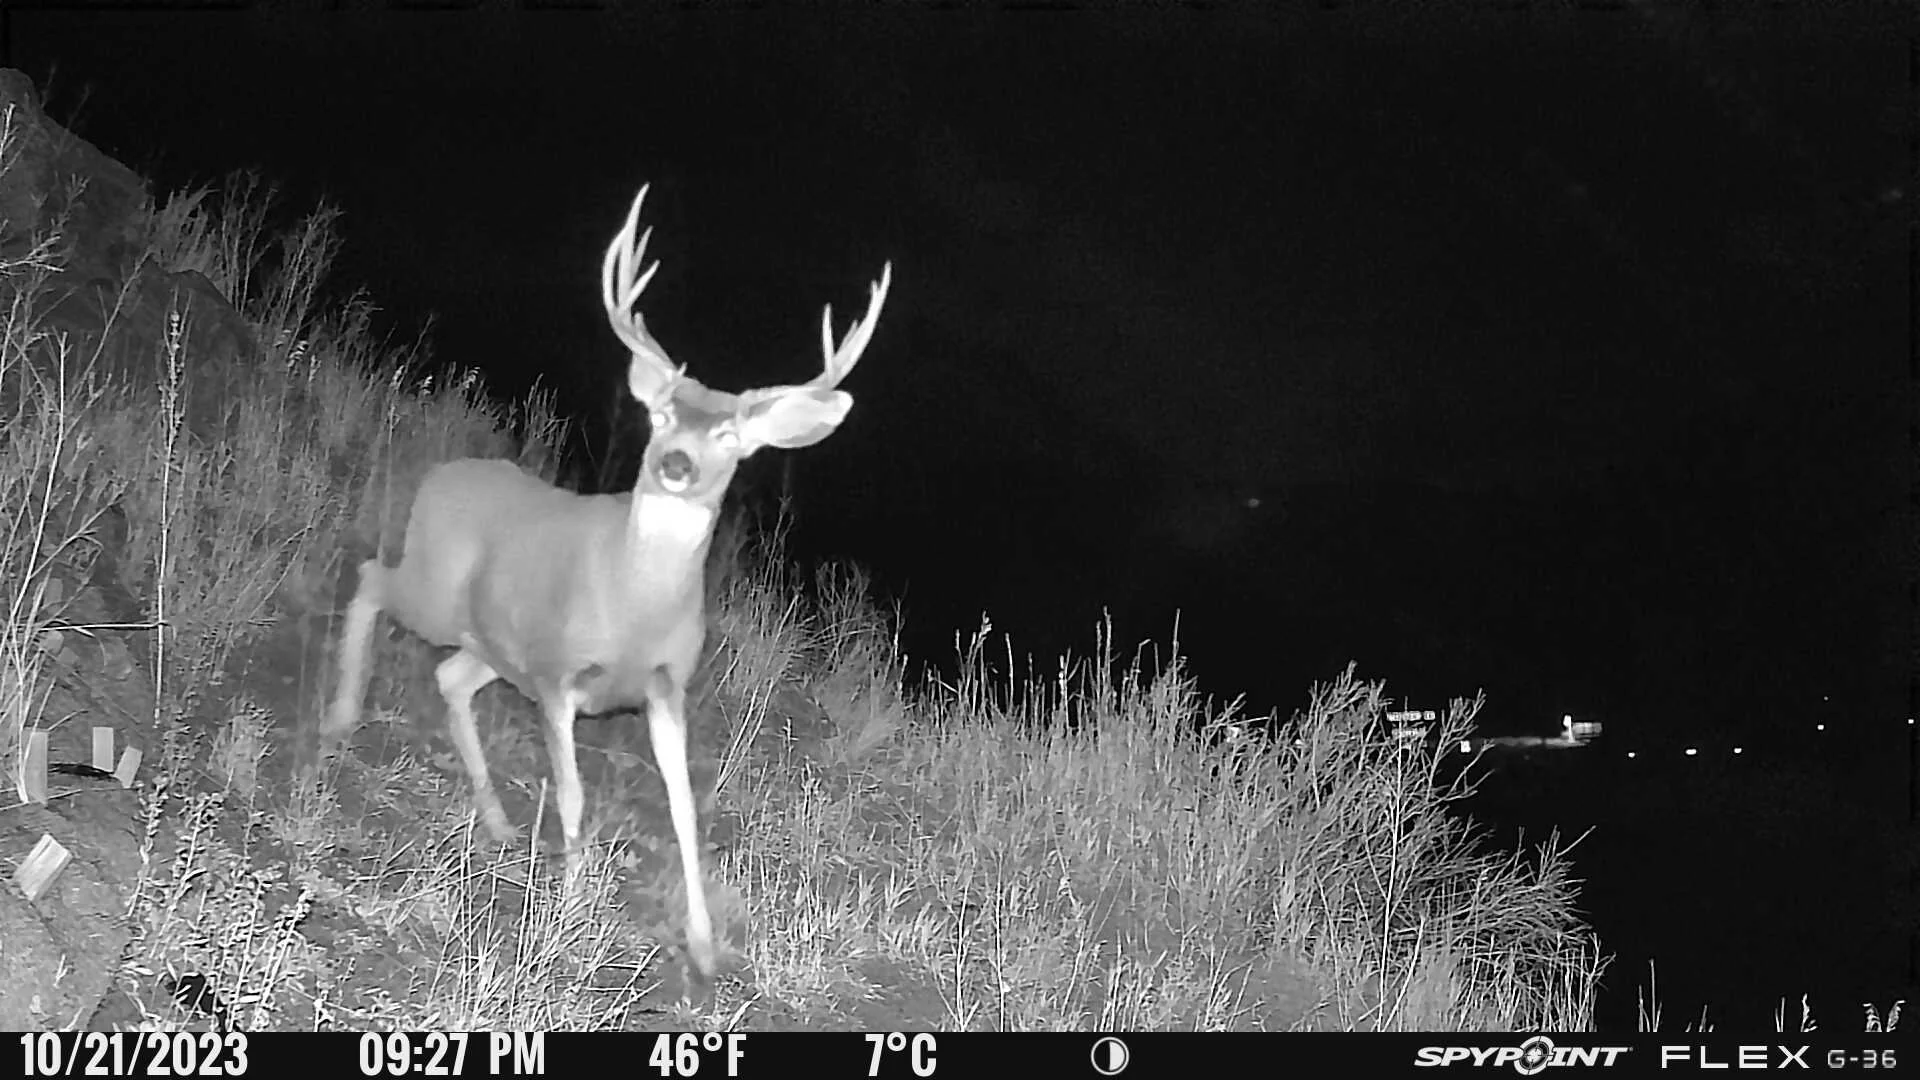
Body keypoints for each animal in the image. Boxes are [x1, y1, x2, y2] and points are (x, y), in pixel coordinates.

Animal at [321, 184, 892, 983]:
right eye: (662, 413)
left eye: (730, 438)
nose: (677, 463)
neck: (632, 607)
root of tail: (444, 473)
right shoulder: (561, 674)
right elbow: (572, 792)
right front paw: (568, 909)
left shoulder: (666, 684)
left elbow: (684, 809)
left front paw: (704, 946)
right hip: (437, 589)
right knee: (373, 578)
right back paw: (341, 716)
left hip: (493, 640)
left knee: (450, 677)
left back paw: (496, 820)